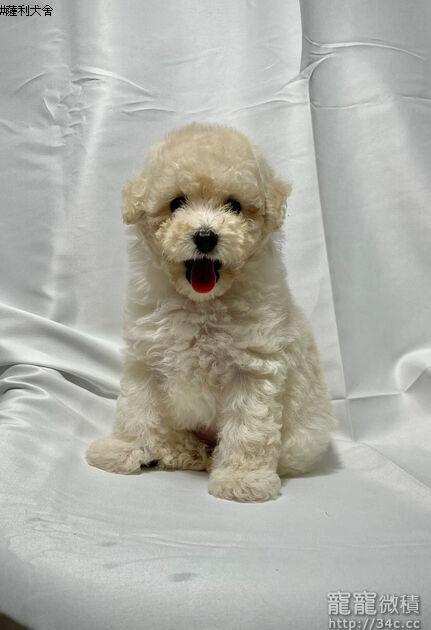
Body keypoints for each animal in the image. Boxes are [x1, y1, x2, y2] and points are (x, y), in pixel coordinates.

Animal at [86, 123, 336, 502]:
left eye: (234, 205)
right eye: (176, 203)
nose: (205, 237)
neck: (200, 303)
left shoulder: (253, 368)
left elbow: (249, 428)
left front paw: (242, 479)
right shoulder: (146, 359)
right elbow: (135, 409)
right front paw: (122, 449)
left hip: (301, 439)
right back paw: (176, 450)